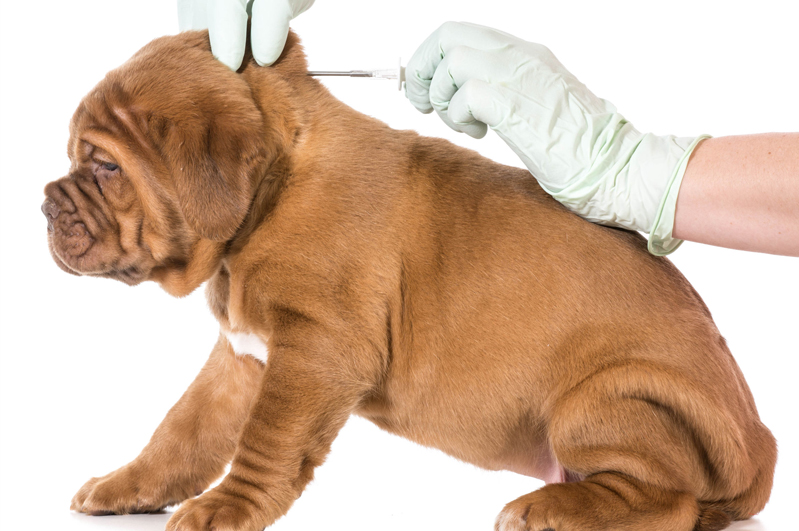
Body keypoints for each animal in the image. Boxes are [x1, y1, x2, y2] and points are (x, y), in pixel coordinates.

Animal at [42, 30, 776, 531]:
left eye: (106, 167)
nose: (45, 203)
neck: (273, 191)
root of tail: (761, 445)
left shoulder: (316, 351)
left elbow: (266, 439)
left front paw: (225, 507)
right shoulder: (244, 355)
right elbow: (183, 428)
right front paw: (130, 485)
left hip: (599, 398)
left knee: (670, 502)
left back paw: (550, 506)